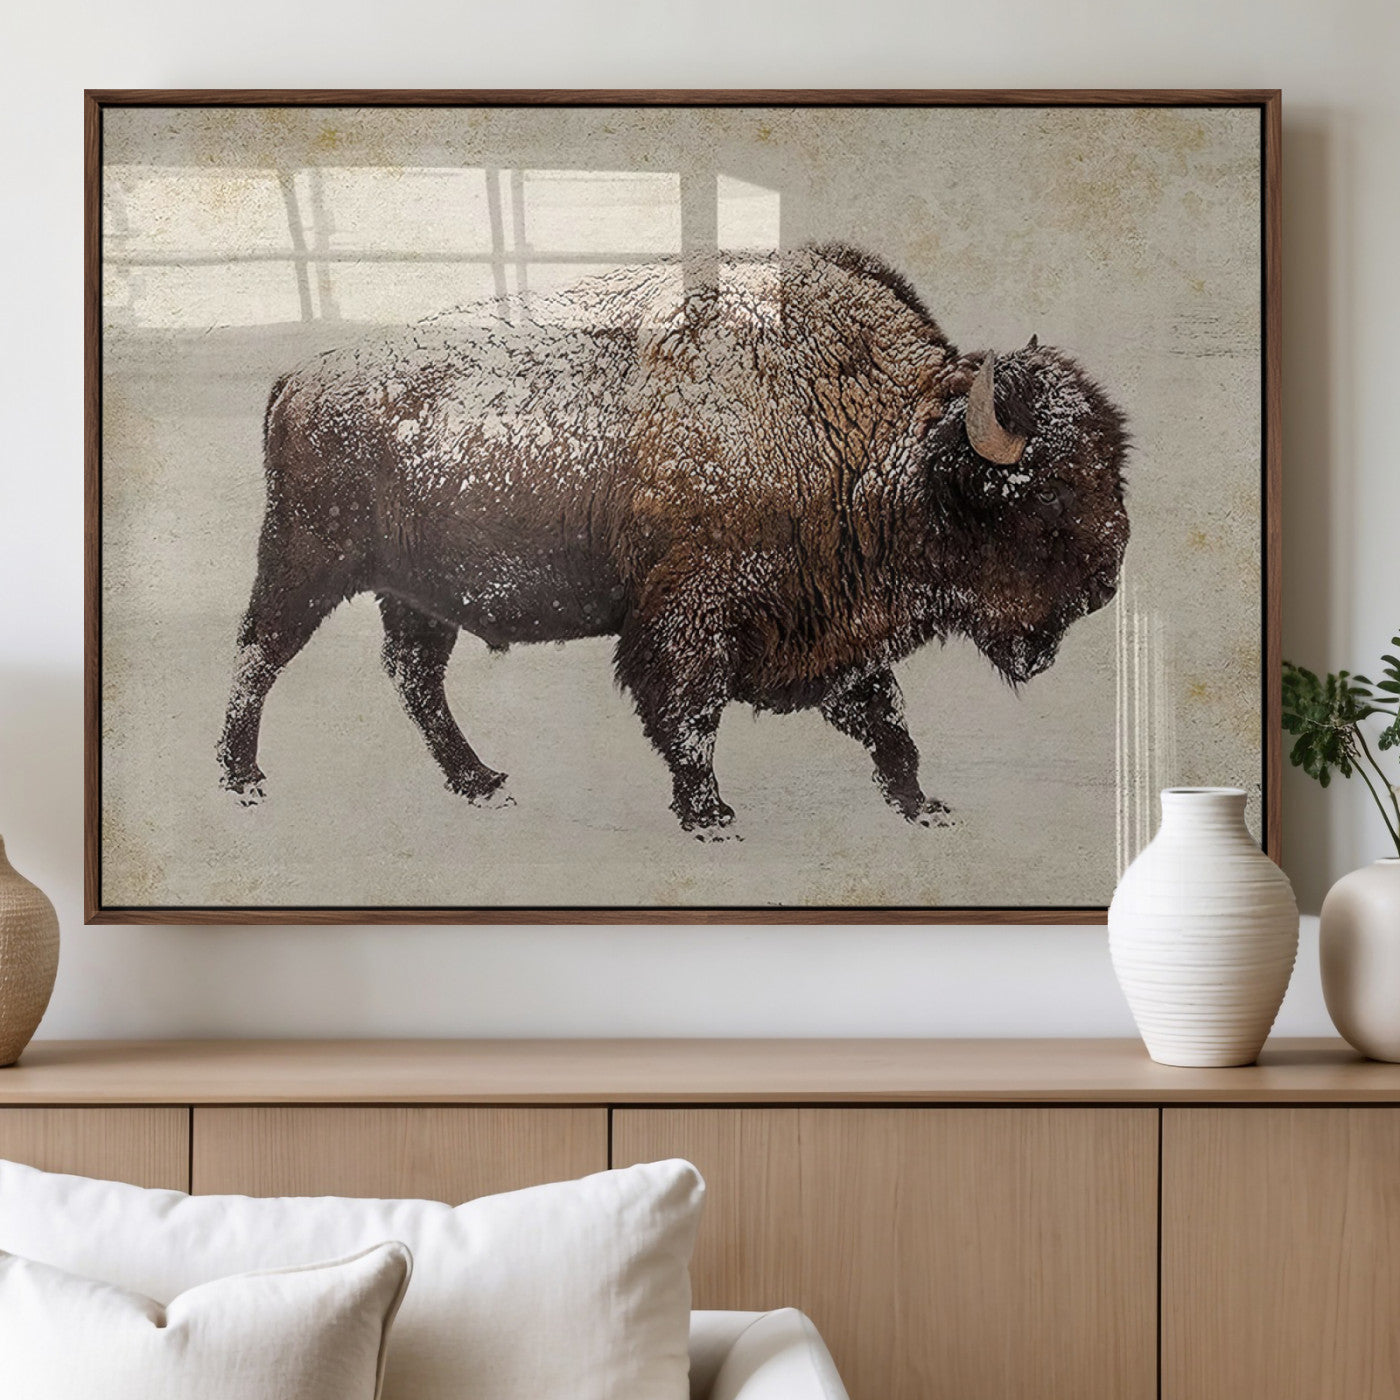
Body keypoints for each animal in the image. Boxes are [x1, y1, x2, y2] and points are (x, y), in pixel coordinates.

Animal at [217, 243, 1128, 837]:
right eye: (1045, 493)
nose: (1109, 577)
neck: (876, 438)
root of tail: (300, 378)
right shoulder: (693, 616)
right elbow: (690, 715)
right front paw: (711, 815)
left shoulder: (834, 627)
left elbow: (886, 718)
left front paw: (922, 806)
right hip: (305, 564)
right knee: (259, 656)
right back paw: (243, 780)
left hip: (416, 596)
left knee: (415, 681)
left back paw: (481, 783)